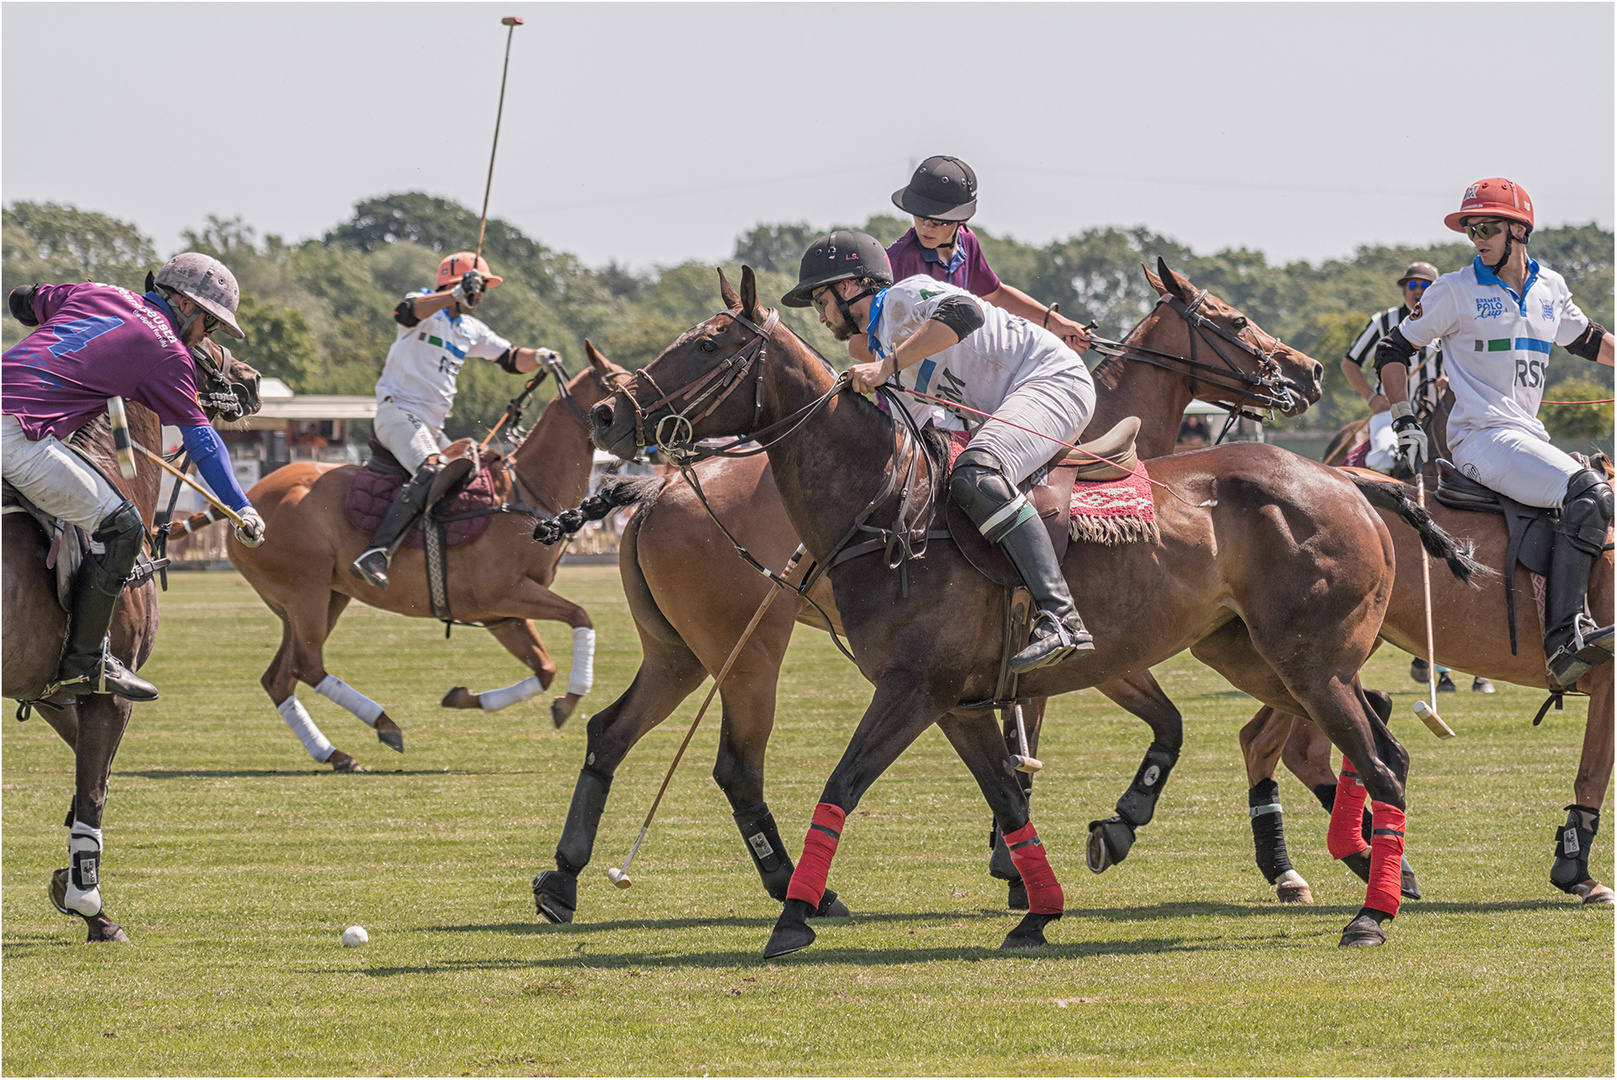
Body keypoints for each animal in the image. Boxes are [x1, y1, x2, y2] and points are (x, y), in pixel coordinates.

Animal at [227, 345, 624, 766]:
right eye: (619, 383)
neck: (527, 490)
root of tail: (242, 508)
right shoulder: (503, 592)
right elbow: (579, 615)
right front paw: (571, 698)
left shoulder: (501, 614)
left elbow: (546, 667)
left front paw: (465, 697)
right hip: (306, 593)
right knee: (307, 665)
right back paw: (383, 724)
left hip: (320, 597)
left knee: (280, 677)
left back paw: (334, 753)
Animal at [588, 268, 1410, 950]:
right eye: (1233, 320)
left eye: (707, 344)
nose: (604, 414)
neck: (885, 502)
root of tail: (1346, 481)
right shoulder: (957, 701)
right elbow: (1012, 796)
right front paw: (1038, 903)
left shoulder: (924, 690)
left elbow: (849, 786)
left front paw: (795, 918)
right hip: (1259, 654)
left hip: (1301, 660)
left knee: (1379, 756)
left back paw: (1372, 908)